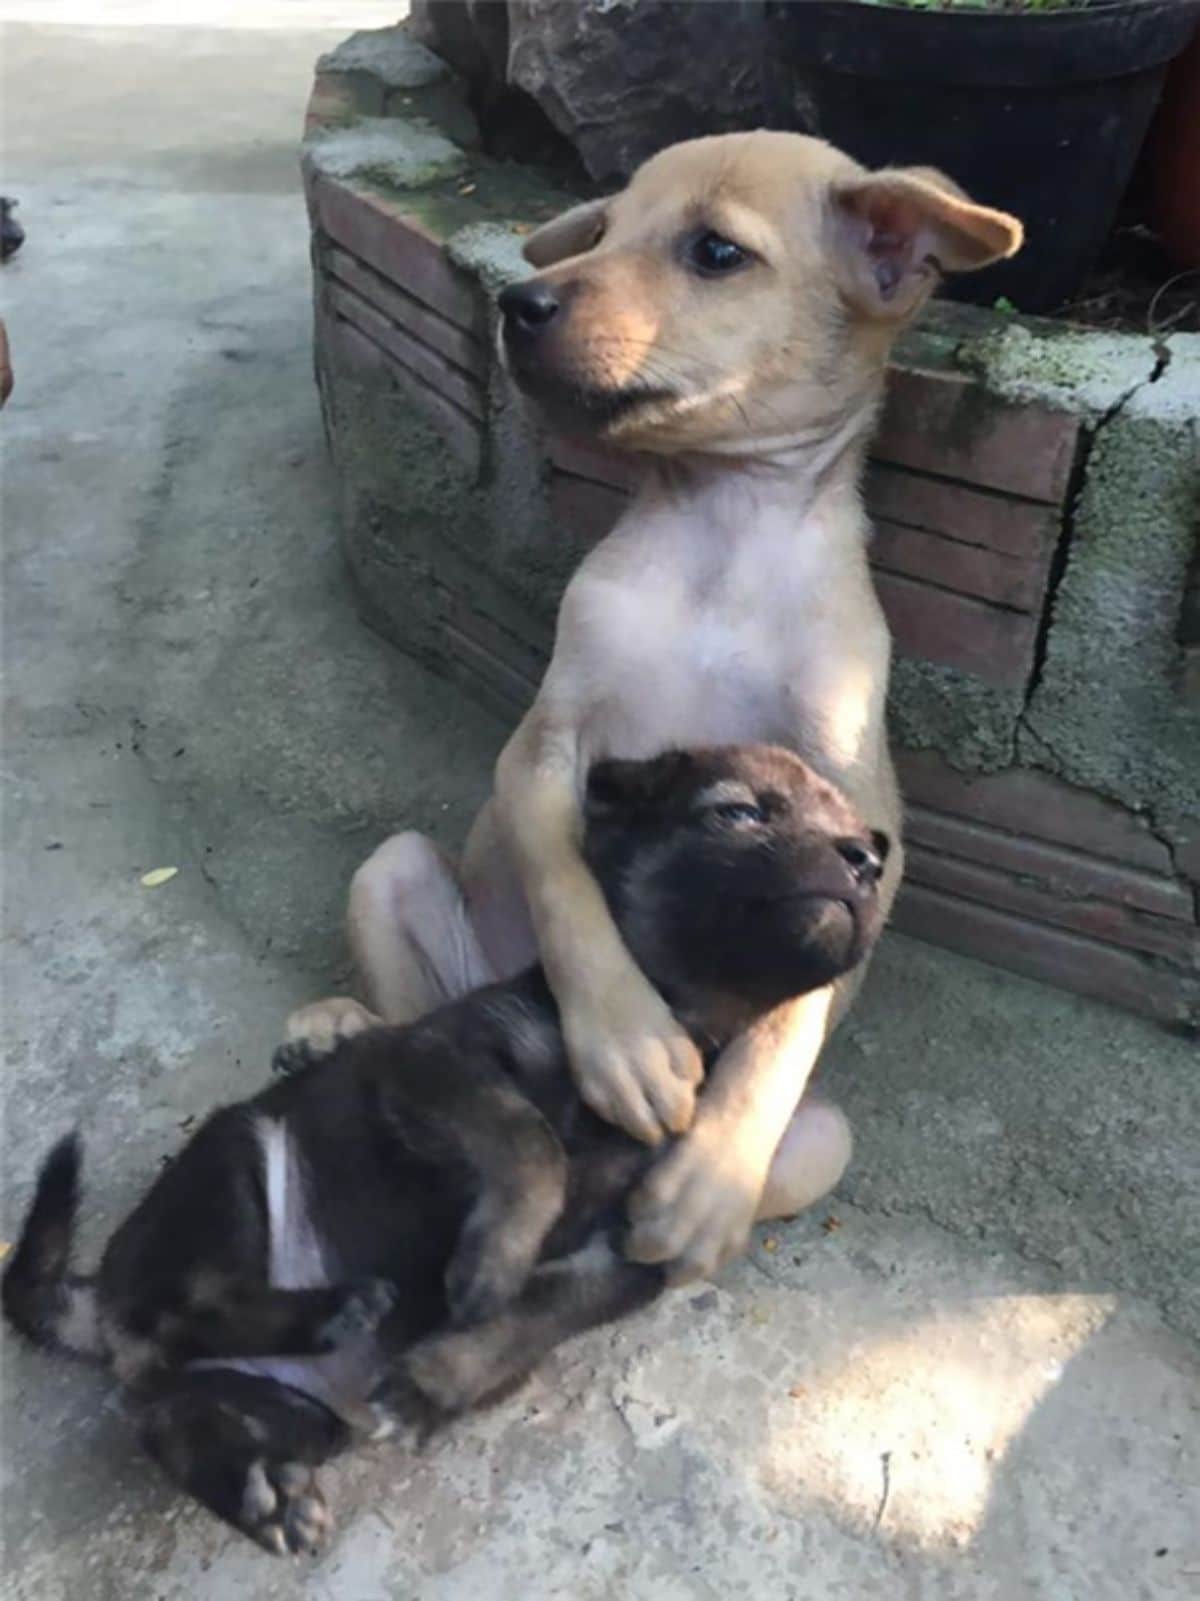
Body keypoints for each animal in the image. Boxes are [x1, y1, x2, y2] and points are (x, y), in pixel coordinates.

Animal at [4, 742, 889, 1556]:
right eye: (737, 812)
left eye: (868, 850)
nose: (867, 862)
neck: (691, 1018)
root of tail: (95, 1303)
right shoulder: (435, 1063)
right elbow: (531, 1140)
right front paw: (491, 1260)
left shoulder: (620, 1255)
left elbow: (524, 1322)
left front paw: (432, 1385)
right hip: (235, 1162)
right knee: (185, 1304)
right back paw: (332, 1312)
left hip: (277, 1402)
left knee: (172, 1418)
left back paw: (263, 1489)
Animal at [286, 134, 1017, 1287]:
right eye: (599, 230)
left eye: (715, 252)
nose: (519, 301)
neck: (721, 529)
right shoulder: (543, 748)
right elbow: (565, 885)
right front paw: (627, 1038)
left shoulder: (860, 817)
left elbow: (789, 1018)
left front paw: (709, 1170)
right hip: (393, 873)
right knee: (412, 1023)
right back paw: (343, 1028)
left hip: (823, 1142)